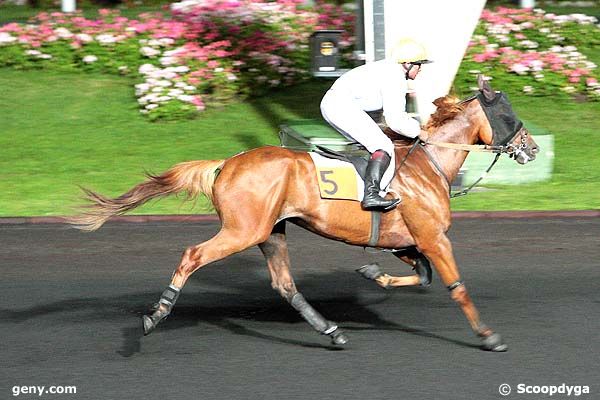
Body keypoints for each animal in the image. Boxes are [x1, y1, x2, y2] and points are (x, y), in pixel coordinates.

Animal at [70, 77, 540, 350]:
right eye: (508, 114)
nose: (532, 148)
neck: (430, 165)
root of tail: (227, 163)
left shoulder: (408, 241)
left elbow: (419, 275)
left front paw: (374, 274)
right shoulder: (433, 238)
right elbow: (456, 287)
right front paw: (487, 335)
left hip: (271, 232)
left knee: (284, 285)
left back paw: (332, 330)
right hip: (243, 231)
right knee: (192, 255)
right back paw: (156, 314)